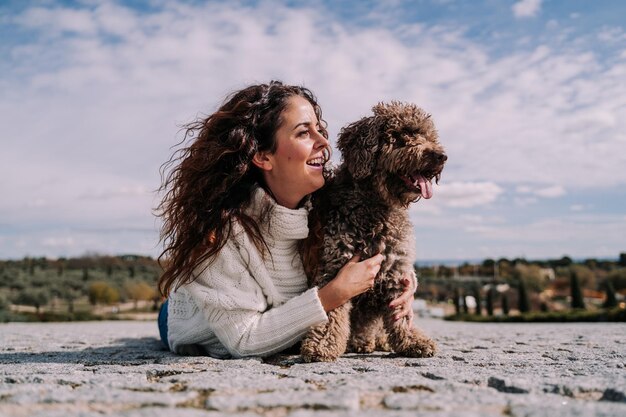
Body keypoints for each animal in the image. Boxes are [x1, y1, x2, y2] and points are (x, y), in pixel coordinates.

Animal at [302, 101, 444, 360]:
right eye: (400, 136)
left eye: (428, 136)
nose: (441, 156)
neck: (376, 205)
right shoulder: (334, 267)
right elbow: (332, 312)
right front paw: (322, 344)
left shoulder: (396, 270)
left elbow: (400, 314)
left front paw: (411, 341)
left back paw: (376, 341)